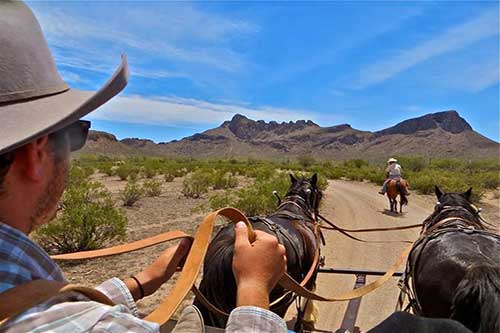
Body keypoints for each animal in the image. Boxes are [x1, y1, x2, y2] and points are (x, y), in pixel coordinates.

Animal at [193, 172, 322, 330]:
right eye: (319, 193)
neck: (294, 210)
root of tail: (231, 243)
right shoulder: (312, 271)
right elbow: (309, 294)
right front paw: (308, 320)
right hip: (280, 300)